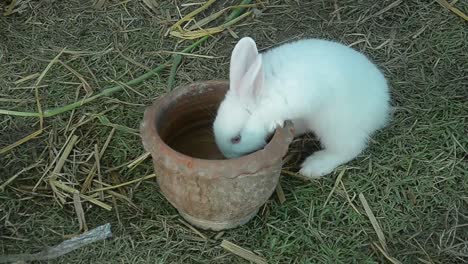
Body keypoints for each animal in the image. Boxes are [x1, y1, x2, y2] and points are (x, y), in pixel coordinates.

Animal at [214, 36, 390, 177]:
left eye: (236, 139)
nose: (227, 156)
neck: (263, 96)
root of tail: (383, 108)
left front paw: (275, 123)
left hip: (336, 128)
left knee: (348, 149)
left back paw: (314, 166)